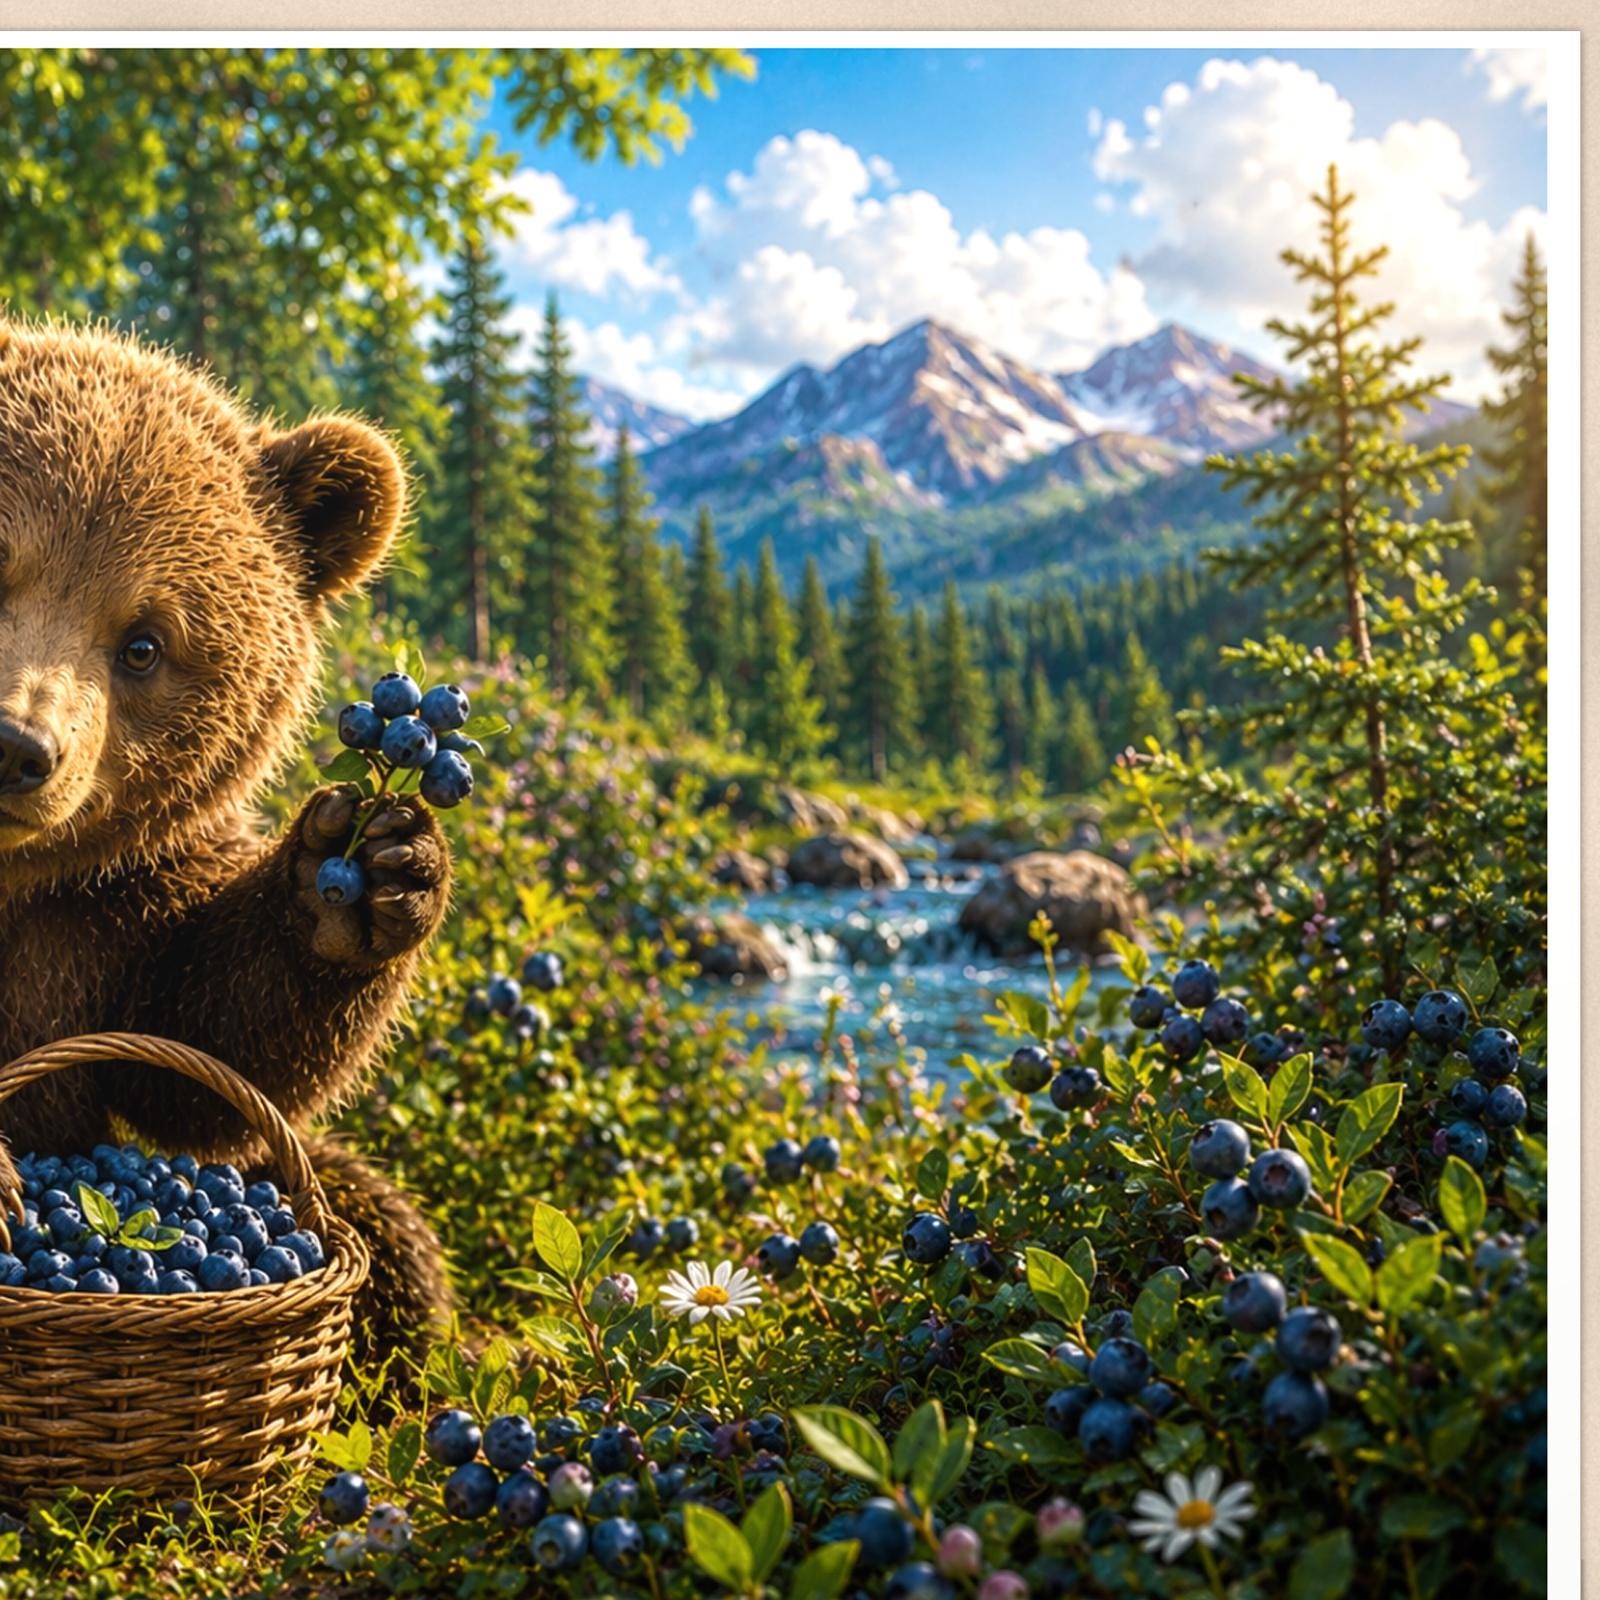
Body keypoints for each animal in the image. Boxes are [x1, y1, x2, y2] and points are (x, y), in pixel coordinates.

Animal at [0, 318, 453, 1362]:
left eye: (143, 644)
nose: (15, 744)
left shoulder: (111, 906)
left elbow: (203, 1055)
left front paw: (364, 881)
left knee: (390, 1234)